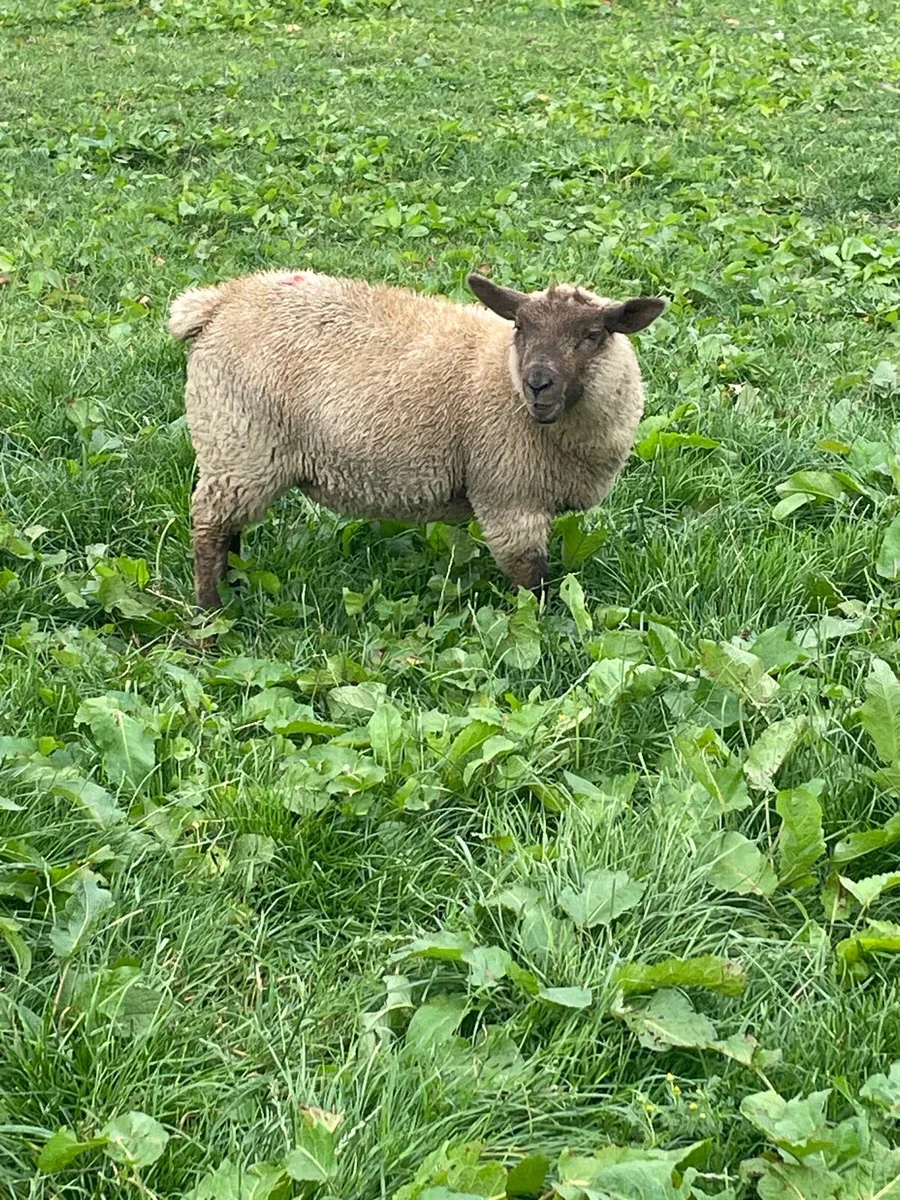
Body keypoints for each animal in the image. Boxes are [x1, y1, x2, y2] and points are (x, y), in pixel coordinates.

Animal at [168, 269, 666, 610]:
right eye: (520, 327)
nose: (538, 384)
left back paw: (233, 584)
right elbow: (533, 582)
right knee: (210, 527)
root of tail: (220, 301)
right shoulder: (509, 497)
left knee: (229, 527)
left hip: (238, 453)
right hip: (238, 441)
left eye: (593, 334)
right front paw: (544, 631)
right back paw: (212, 613)